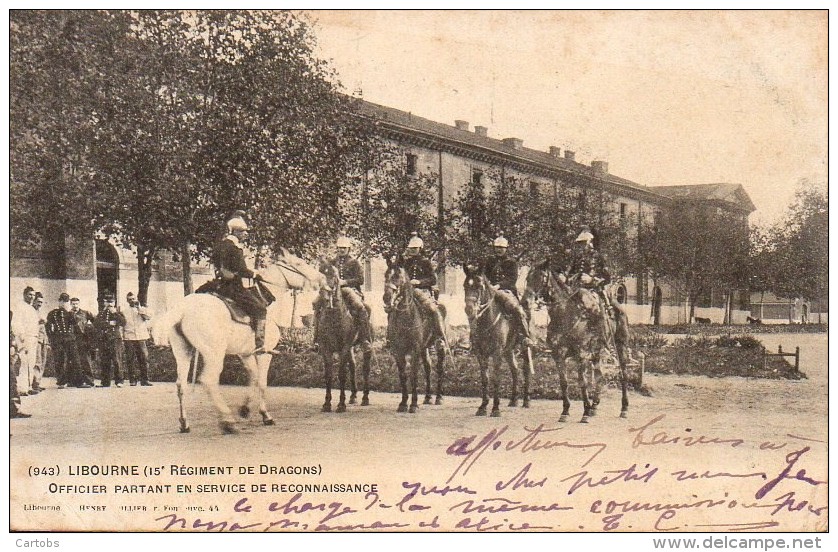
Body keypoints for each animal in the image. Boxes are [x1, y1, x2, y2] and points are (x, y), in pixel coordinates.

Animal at [153, 250, 324, 436]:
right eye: (299, 264)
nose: (321, 278)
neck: (265, 299)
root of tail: (184, 309)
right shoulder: (264, 354)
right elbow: (262, 382)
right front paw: (266, 415)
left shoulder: (246, 354)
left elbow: (254, 378)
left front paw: (245, 409)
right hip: (214, 354)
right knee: (208, 381)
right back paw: (227, 422)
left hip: (183, 351)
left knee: (181, 385)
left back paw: (185, 423)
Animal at [316, 260, 372, 412]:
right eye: (320, 275)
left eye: (334, 277)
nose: (324, 297)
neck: (334, 317)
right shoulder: (326, 348)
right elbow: (328, 375)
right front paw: (327, 403)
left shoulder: (344, 347)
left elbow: (341, 374)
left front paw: (341, 404)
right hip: (351, 348)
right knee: (352, 366)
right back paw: (353, 396)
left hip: (363, 346)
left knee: (365, 369)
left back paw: (365, 398)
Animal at [386, 260, 450, 412]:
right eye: (385, 275)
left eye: (398, 276)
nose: (386, 298)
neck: (405, 317)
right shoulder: (398, 351)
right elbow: (403, 374)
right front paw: (403, 403)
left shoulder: (414, 349)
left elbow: (414, 374)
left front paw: (413, 404)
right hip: (424, 348)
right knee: (428, 367)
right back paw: (427, 397)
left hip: (439, 345)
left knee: (439, 368)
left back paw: (439, 397)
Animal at [462, 266, 536, 416]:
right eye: (465, 286)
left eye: (479, 286)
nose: (469, 310)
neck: (486, 322)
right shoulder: (481, 354)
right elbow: (485, 379)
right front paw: (483, 407)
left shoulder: (497, 353)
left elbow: (496, 378)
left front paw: (495, 408)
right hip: (508, 350)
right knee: (515, 369)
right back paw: (513, 400)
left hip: (524, 349)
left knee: (525, 370)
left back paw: (526, 401)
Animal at [520, 264, 632, 422]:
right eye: (528, 278)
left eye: (541, 277)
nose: (525, 302)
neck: (565, 315)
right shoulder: (558, 355)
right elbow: (564, 383)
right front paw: (566, 411)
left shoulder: (582, 355)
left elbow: (582, 382)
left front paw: (585, 412)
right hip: (597, 352)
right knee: (599, 377)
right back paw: (595, 406)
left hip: (620, 346)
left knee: (624, 375)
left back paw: (624, 408)